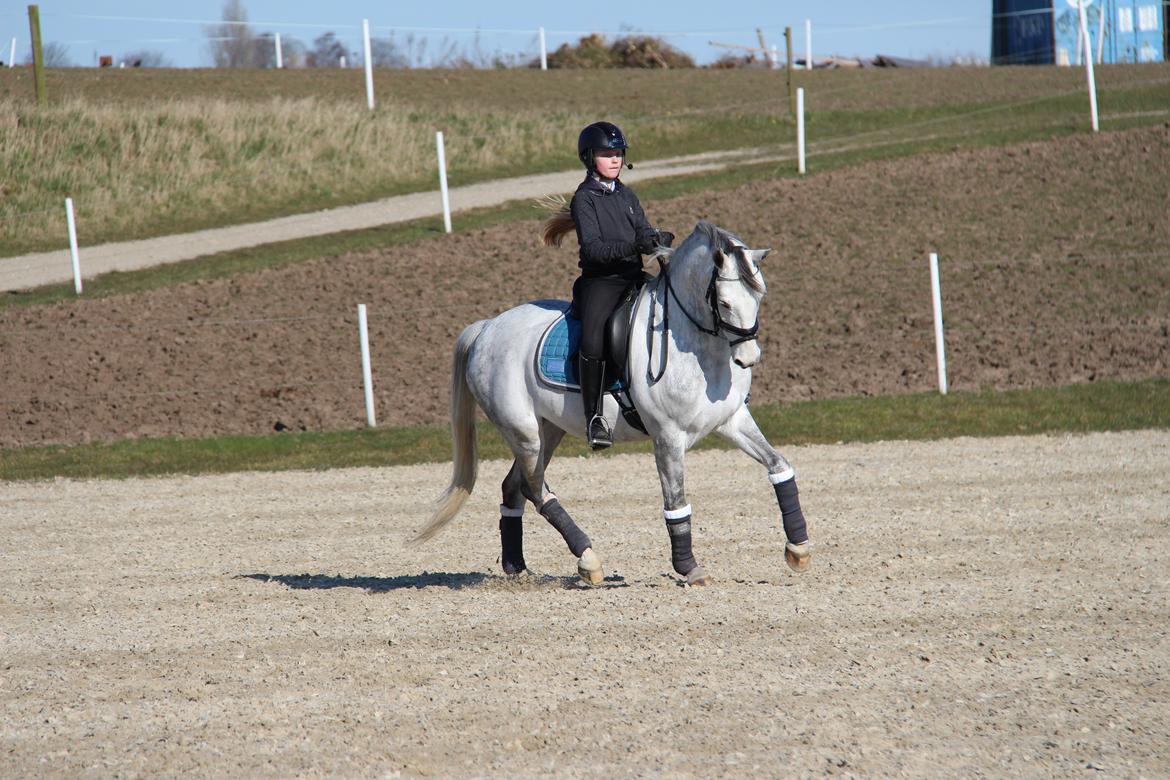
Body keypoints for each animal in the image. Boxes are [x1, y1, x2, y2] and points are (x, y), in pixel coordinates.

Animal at [414, 219, 814, 584]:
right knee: (534, 488)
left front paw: (798, 549)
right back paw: (588, 560)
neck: (699, 347)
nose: (749, 358)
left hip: (547, 431)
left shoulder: (732, 420)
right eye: (726, 303)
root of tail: (487, 327)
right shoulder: (668, 438)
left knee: (514, 488)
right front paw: (688, 568)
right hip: (523, 432)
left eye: (760, 296)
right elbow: (676, 503)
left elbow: (780, 466)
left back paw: (518, 569)